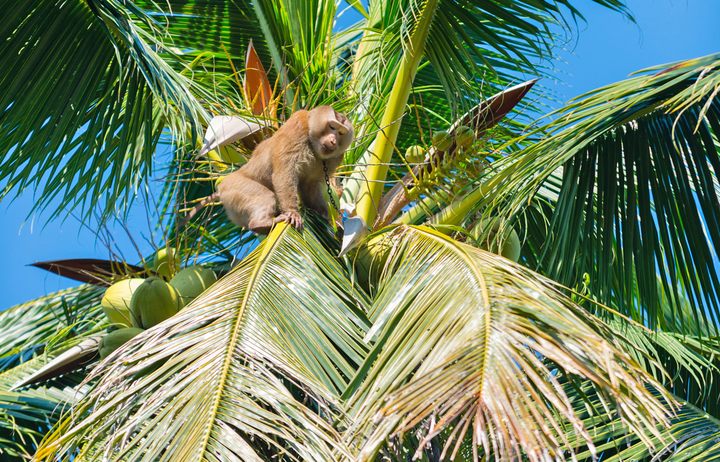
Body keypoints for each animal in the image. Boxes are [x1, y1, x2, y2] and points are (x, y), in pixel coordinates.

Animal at [184, 106, 352, 233]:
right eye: (332, 127)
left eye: (341, 133)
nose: (333, 140)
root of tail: (221, 187)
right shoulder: (297, 125)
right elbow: (284, 172)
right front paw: (292, 212)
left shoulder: (336, 157)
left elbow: (309, 186)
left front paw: (327, 216)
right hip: (234, 187)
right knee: (264, 196)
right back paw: (261, 224)